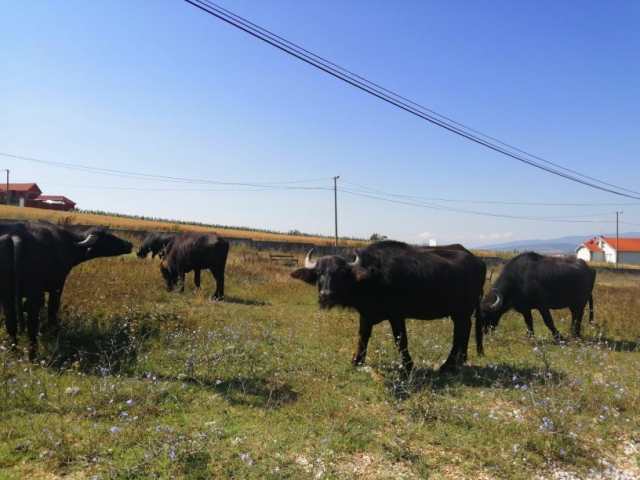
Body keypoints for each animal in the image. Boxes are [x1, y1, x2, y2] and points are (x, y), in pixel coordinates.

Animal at [0, 220, 132, 356]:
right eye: (109, 238)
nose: (129, 244)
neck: (68, 243)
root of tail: (16, 237)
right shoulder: (57, 287)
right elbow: (52, 311)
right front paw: (54, 332)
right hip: (33, 292)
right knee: (32, 322)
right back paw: (33, 355)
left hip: (7, 294)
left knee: (11, 321)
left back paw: (14, 351)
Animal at [290, 242, 484, 374]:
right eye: (319, 273)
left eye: (342, 273)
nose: (326, 295)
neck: (372, 278)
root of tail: (478, 261)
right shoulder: (365, 314)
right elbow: (362, 337)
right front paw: (356, 360)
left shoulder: (397, 315)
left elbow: (401, 342)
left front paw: (409, 367)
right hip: (460, 314)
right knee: (464, 331)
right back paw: (460, 360)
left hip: (462, 312)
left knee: (460, 333)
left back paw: (448, 364)